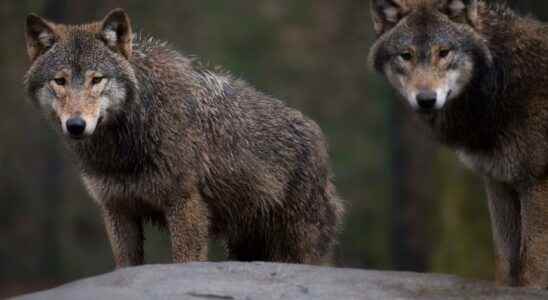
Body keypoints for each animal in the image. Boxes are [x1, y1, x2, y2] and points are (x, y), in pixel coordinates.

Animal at [24, 8, 342, 268]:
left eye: (96, 79)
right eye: (60, 81)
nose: (76, 125)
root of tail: (320, 139)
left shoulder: (185, 206)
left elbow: (185, 260)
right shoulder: (117, 209)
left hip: (294, 246)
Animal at [370, 0, 548, 288]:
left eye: (444, 52)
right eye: (406, 55)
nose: (426, 99)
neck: (501, 80)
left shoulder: (537, 183)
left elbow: (531, 269)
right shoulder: (498, 183)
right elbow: (506, 264)